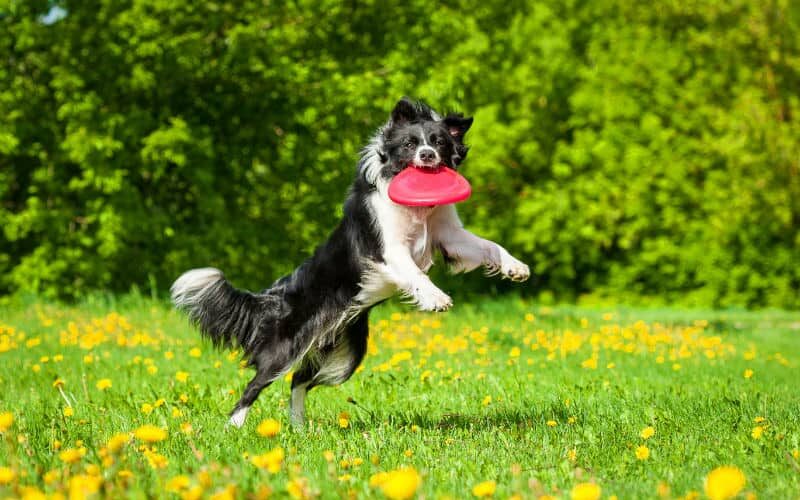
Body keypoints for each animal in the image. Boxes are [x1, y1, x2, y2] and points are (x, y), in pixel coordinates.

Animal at [172, 98, 528, 430]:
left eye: (439, 142)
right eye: (410, 144)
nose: (427, 155)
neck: (419, 213)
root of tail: (274, 295)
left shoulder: (450, 235)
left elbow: (488, 246)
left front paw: (515, 267)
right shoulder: (389, 248)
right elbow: (414, 272)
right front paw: (436, 298)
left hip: (344, 351)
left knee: (298, 381)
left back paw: (299, 428)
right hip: (287, 346)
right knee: (256, 383)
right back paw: (234, 427)